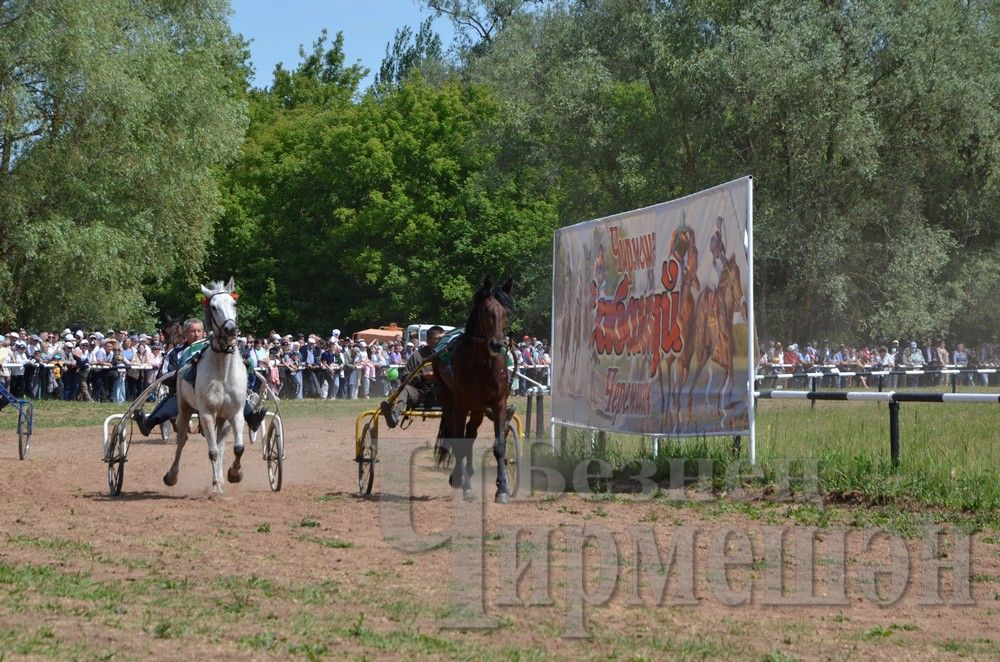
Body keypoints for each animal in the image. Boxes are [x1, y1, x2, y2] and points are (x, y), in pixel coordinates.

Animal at [164, 278, 248, 496]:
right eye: (214, 306)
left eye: (234, 303)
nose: (230, 329)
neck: (223, 371)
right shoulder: (207, 413)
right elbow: (212, 451)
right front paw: (216, 485)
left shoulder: (235, 412)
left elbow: (237, 448)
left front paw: (234, 474)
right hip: (184, 408)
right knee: (182, 440)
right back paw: (172, 475)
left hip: (223, 418)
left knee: (222, 444)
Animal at [432, 278, 512, 506]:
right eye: (486, 311)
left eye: (506, 312)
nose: (497, 344)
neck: (483, 364)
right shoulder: (461, 405)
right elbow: (458, 443)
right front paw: (466, 488)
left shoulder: (498, 404)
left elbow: (499, 446)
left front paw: (502, 489)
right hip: (449, 399)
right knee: (456, 433)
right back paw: (459, 478)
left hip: (478, 408)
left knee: (471, 432)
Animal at [676, 256, 748, 428]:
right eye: (736, 274)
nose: (743, 304)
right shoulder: (727, 359)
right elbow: (729, 382)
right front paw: (728, 408)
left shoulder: (724, 361)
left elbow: (723, 385)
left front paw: (721, 410)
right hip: (703, 355)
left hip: (702, 355)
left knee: (690, 382)